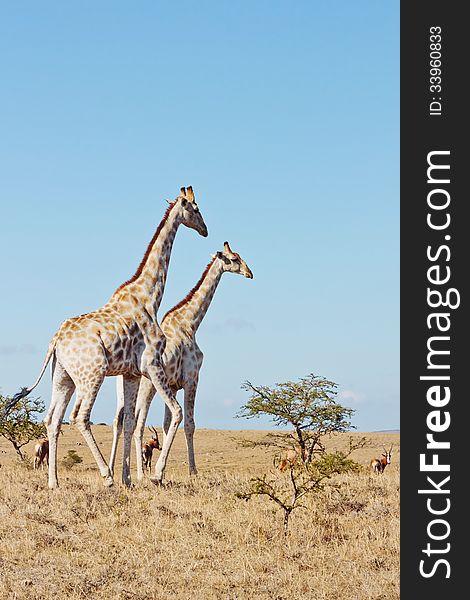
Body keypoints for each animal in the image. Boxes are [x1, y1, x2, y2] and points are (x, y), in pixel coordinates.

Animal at [13, 186, 207, 488]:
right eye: (196, 209)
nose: (206, 230)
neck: (150, 298)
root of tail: (55, 340)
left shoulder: (131, 373)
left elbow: (128, 422)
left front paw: (129, 479)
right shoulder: (152, 364)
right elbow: (174, 413)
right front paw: (152, 475)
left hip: (63, 376)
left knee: (52, 419)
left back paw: (54, 482)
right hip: (92, 373)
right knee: (79, 417)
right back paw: (106, 476)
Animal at [109, 241, 253, 480]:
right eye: (234, 259)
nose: (250, 273)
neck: (191, 324)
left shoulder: (175, 386)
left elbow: (167, 425)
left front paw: (164, 470)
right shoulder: (192, 379)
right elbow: (189, 424)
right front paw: (192, 471)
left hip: (124, 387)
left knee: (118, 421)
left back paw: (114, 470)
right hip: (148, 386)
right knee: (138, 424)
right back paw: (140, 474)